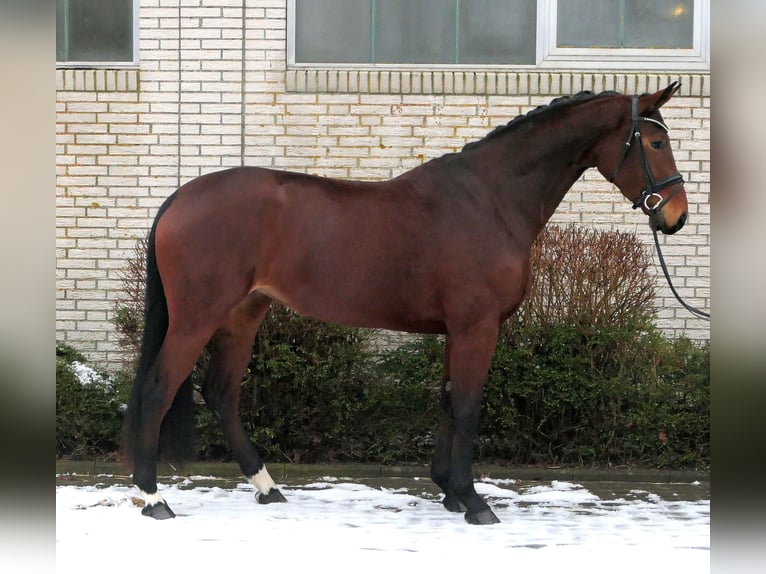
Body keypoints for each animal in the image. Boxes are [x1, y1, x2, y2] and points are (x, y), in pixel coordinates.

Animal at [122, 82, 688, 524]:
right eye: (656, 141)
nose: (676, 216)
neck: (490, 199)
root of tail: (180, 198)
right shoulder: (477, 326)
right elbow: (468, 404)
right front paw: (474, 502)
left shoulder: (457, 329)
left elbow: (447, 400)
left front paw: (449, 492)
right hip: (198, 316)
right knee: (157, 389)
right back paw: (153, 499)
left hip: (245, 312)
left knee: (221, 393)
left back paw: (267, 487)